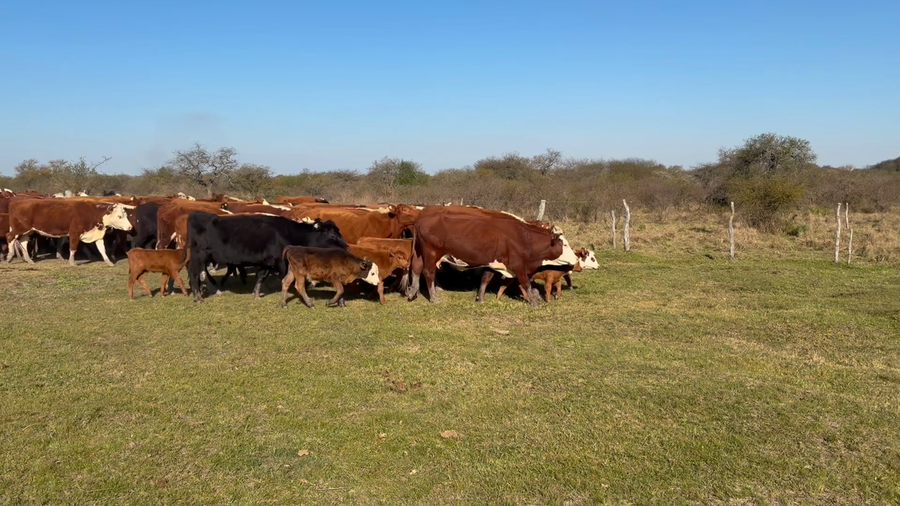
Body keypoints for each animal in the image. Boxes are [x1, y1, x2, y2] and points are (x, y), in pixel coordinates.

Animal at [186, 212, 348, 302]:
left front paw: (256, 294)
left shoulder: (267, 262)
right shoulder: (281, 262)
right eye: (332, 234)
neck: (288, 232)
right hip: (198, 257)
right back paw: (199, 297)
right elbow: (288, 279)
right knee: (194, 274)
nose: (346, 246)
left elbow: (261, 277)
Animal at [407, 213, 577, 305]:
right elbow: (526, 284)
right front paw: (534, 301)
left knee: (415, 268)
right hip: (431, 253)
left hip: (420, 253)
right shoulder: (519, 266)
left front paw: (480, 298)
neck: (522, 238)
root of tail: (422, 219)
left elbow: (485, 279)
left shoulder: (493, 263)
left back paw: (412, 291)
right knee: (428, 273)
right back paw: (433, 297)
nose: (576, 258)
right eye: (565, 244)